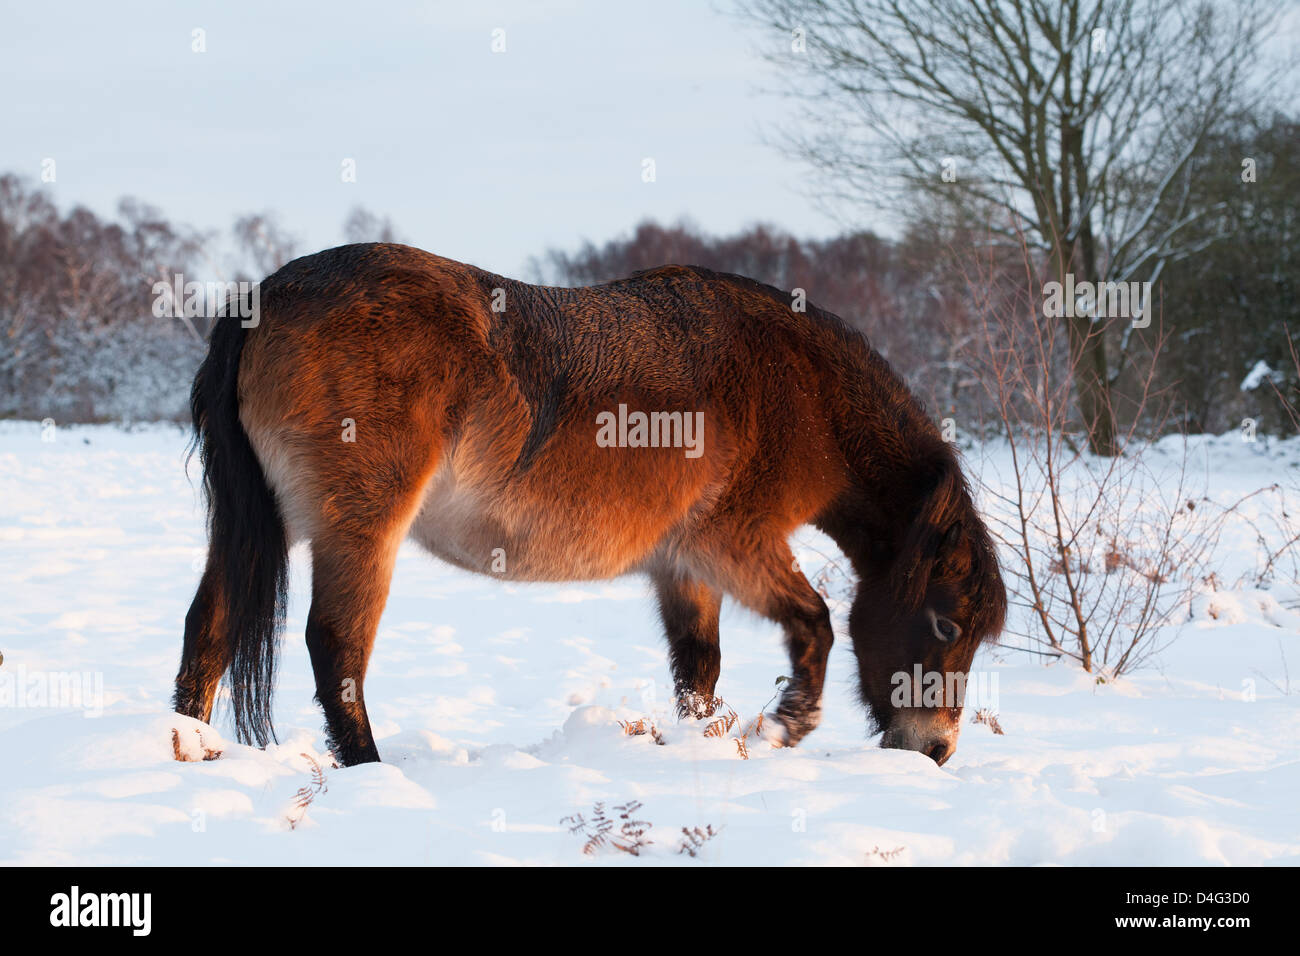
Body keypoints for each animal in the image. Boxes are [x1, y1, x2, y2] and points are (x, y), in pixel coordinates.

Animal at [174, 242, 1006, 767]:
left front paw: (699, 743)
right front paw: (787, 725)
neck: (801, 390)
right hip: (361, 531)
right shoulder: (731, 544)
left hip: (270, 526)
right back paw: (369, 769)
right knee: (336, 647)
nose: (934, 750)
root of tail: (265, 296)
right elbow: (817, 623)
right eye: (945, 623)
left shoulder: (682, 566)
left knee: (211, 625)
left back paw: (190, 749)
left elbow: (697, 669)